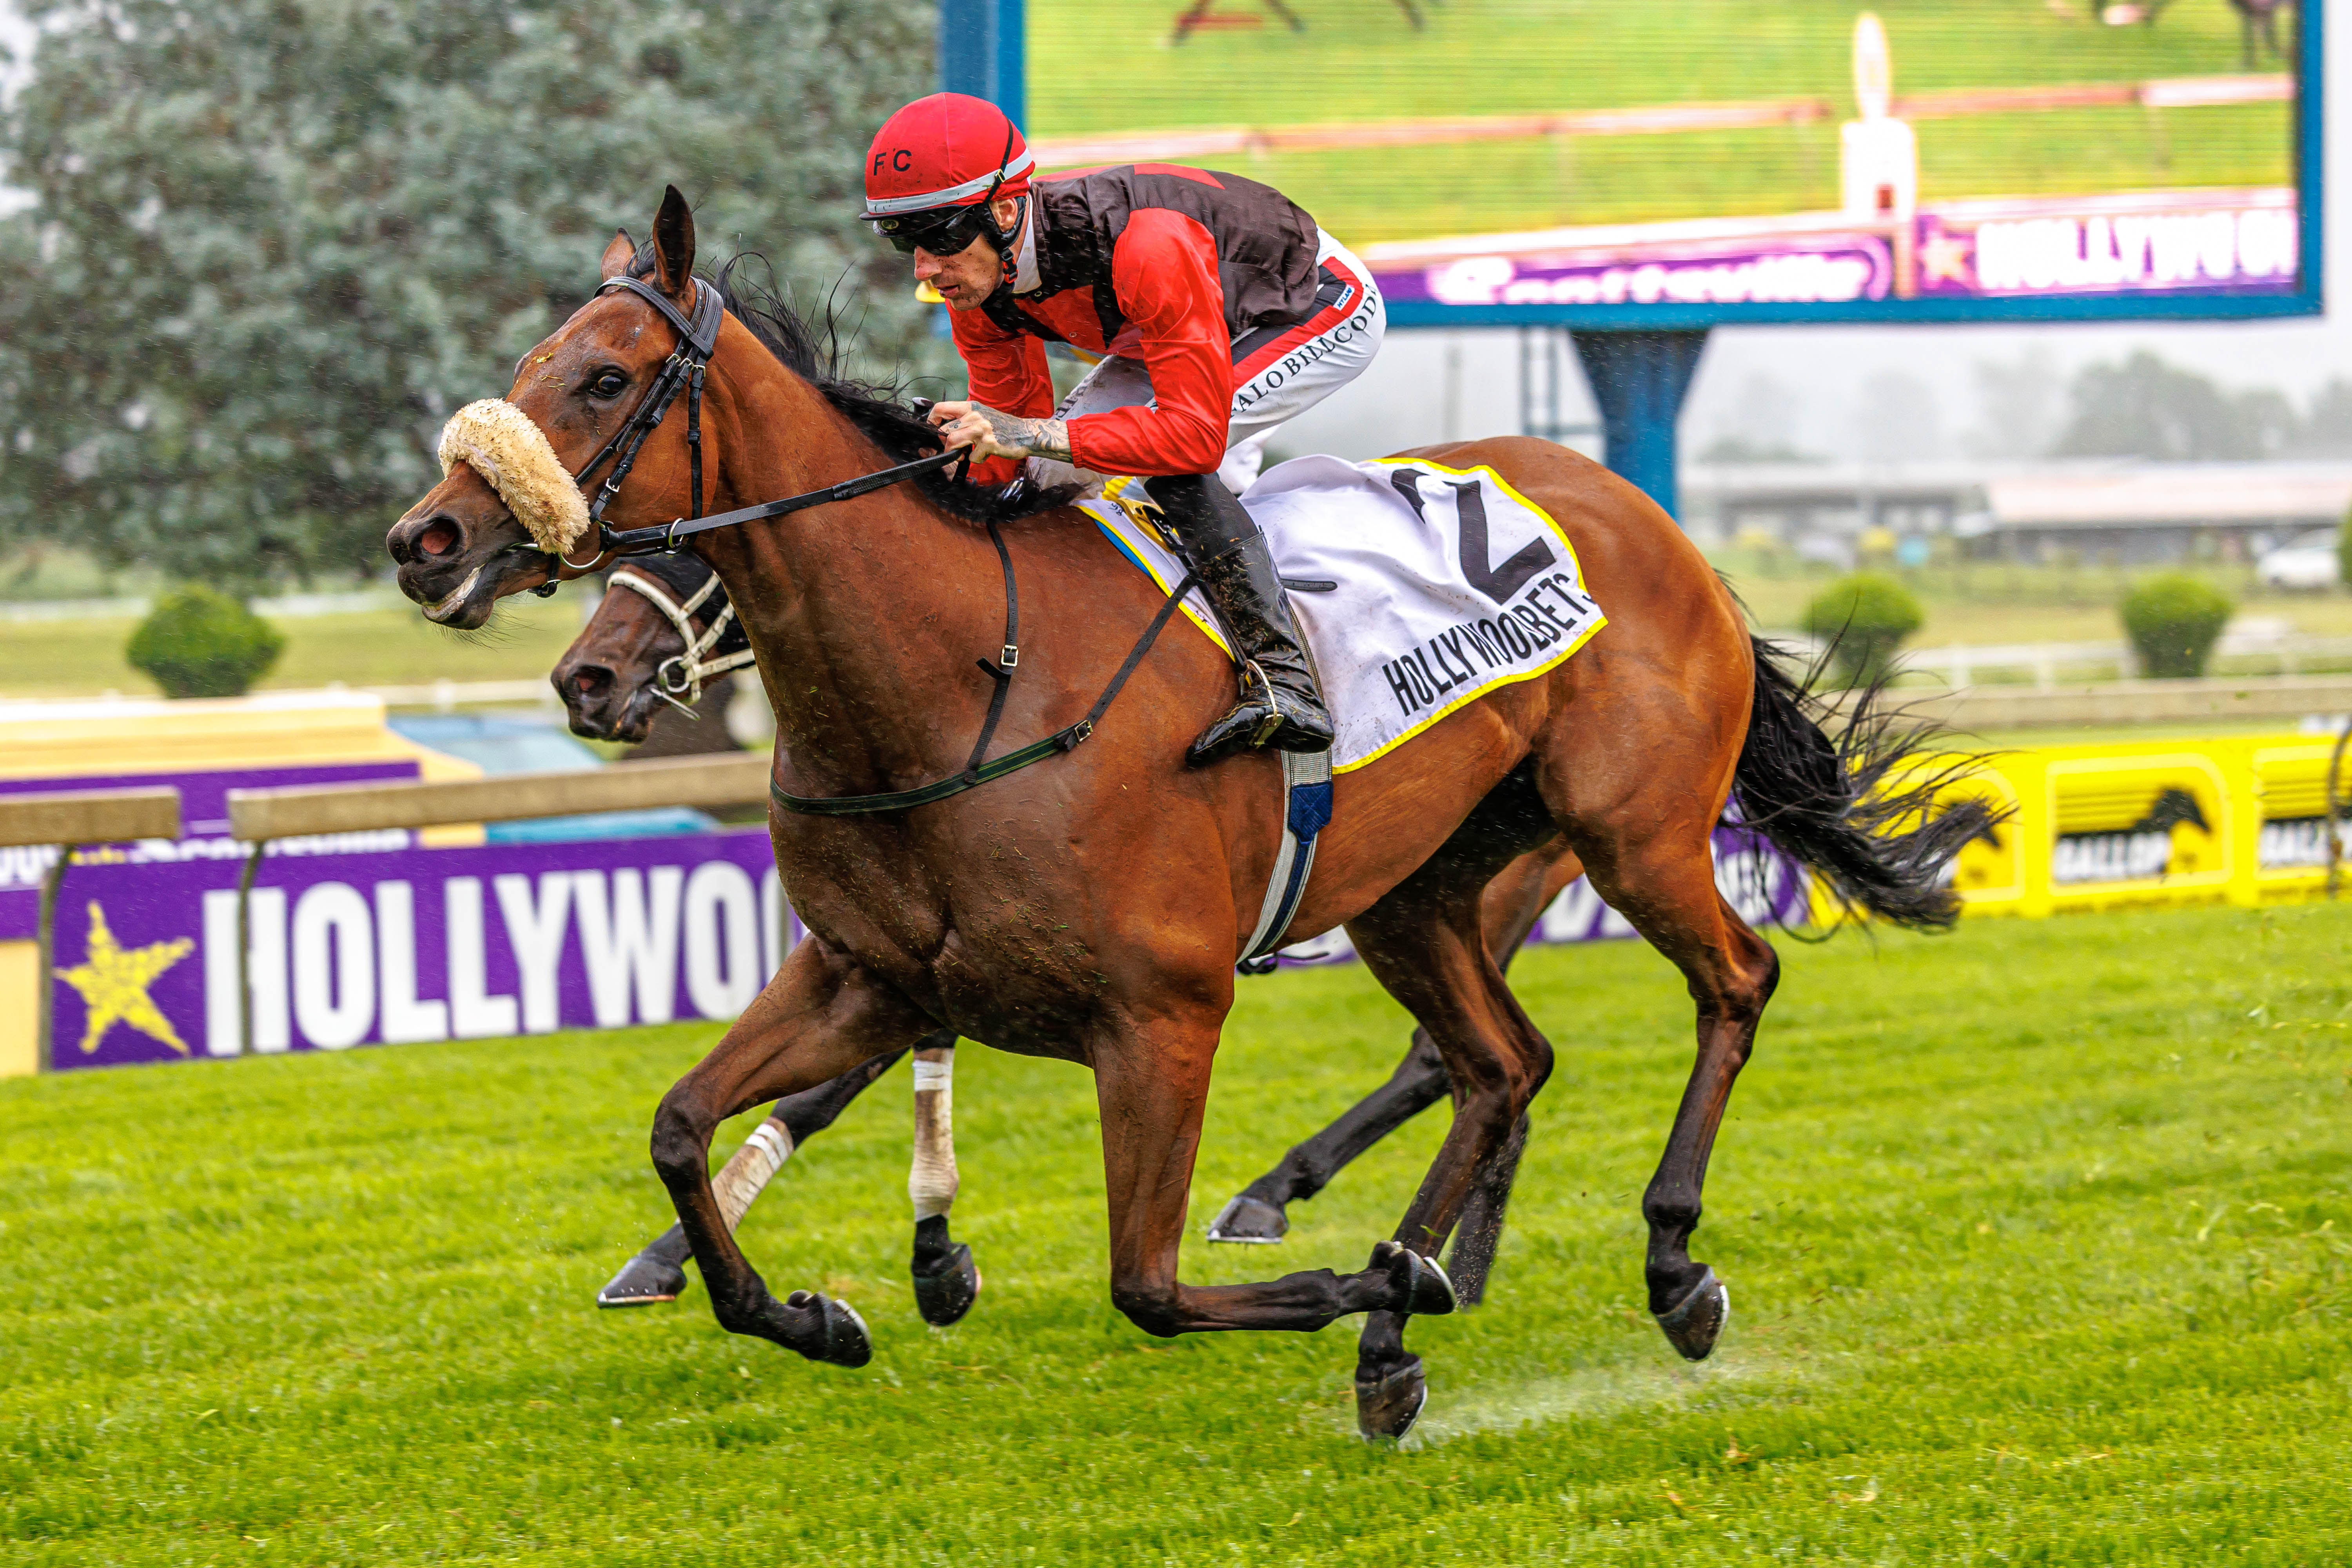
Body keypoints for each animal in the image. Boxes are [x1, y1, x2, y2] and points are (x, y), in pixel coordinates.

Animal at [553, 550, 1585, 1309]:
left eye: (700, 558)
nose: (589, 679)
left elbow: (835, 1086)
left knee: (1454, 1055)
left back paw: (1304, 1209)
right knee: (1496, 1057)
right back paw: (1449, 1256)